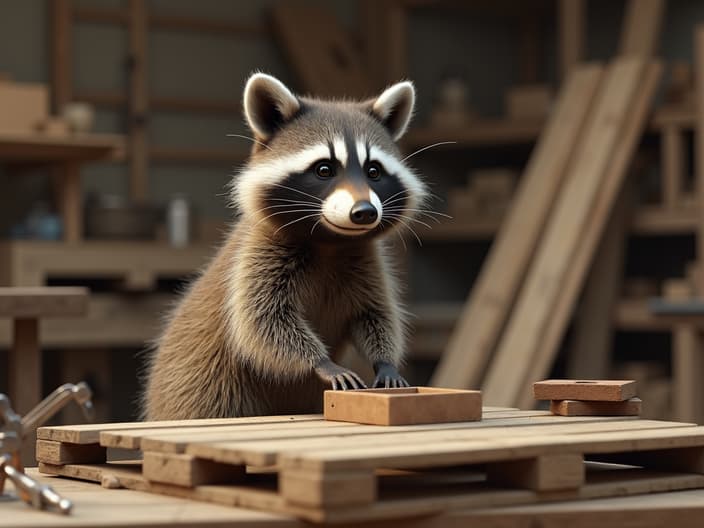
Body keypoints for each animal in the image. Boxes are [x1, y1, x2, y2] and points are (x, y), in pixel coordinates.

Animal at [142, 73, 426, 420]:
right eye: (324, 169)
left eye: (374, 171)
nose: (364, 212)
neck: (330, 241)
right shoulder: (258, 256)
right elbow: (263, 323)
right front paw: (321, 361)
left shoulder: (366, 263)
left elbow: (374, 314)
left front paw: (384, 360)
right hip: (204, 388)